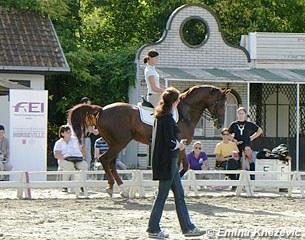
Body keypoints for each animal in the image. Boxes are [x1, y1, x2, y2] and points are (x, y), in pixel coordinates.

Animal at [67, 84, 228, 197]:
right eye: (220, 103)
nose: (220, 125)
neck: (185, 112)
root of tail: (102, 110)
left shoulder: (180, 145)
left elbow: (183, 166)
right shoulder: (178, 144)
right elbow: (182, 167)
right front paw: (161, 190)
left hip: (114, 143)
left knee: (111, 162)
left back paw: (123, 190)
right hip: (120, 142)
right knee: (105, 159)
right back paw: (113, 188)